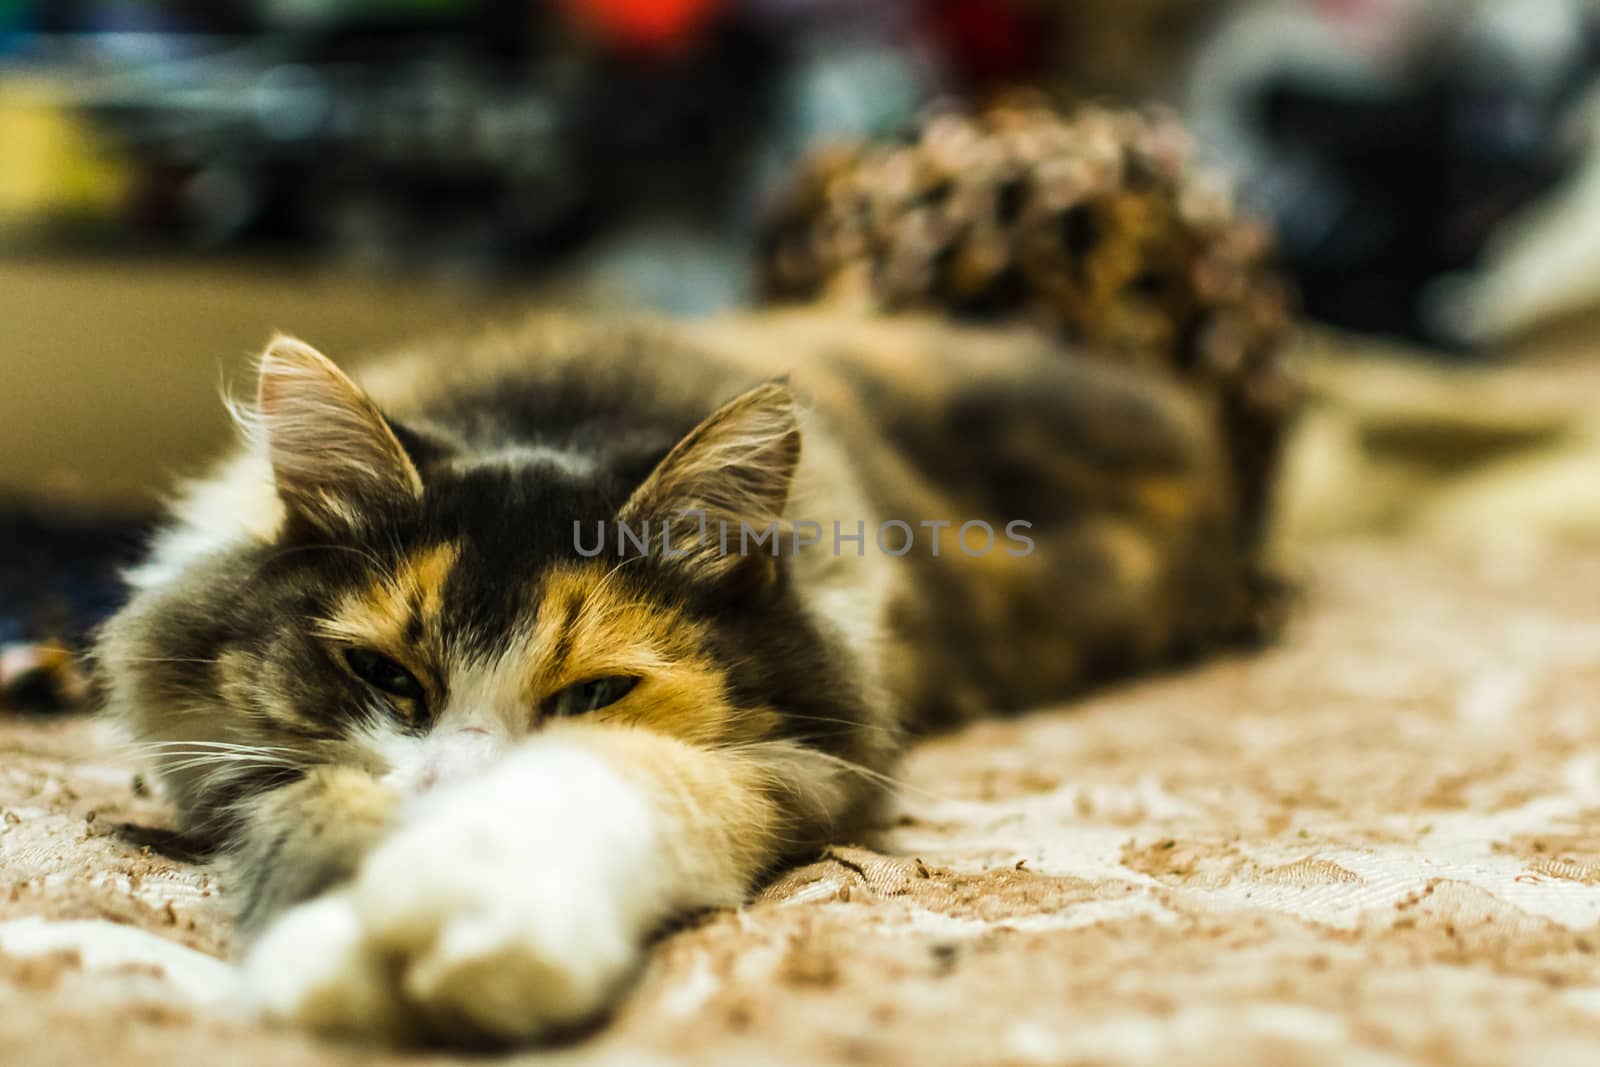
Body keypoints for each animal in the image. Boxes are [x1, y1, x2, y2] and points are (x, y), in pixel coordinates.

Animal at [96, 307, 1273, 1043]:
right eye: (385, 674)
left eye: (591, 694)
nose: (452, 791)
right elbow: (314, 803)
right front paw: (333, 947)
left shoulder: (797, 763)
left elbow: (615, 784)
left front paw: (471, 917)